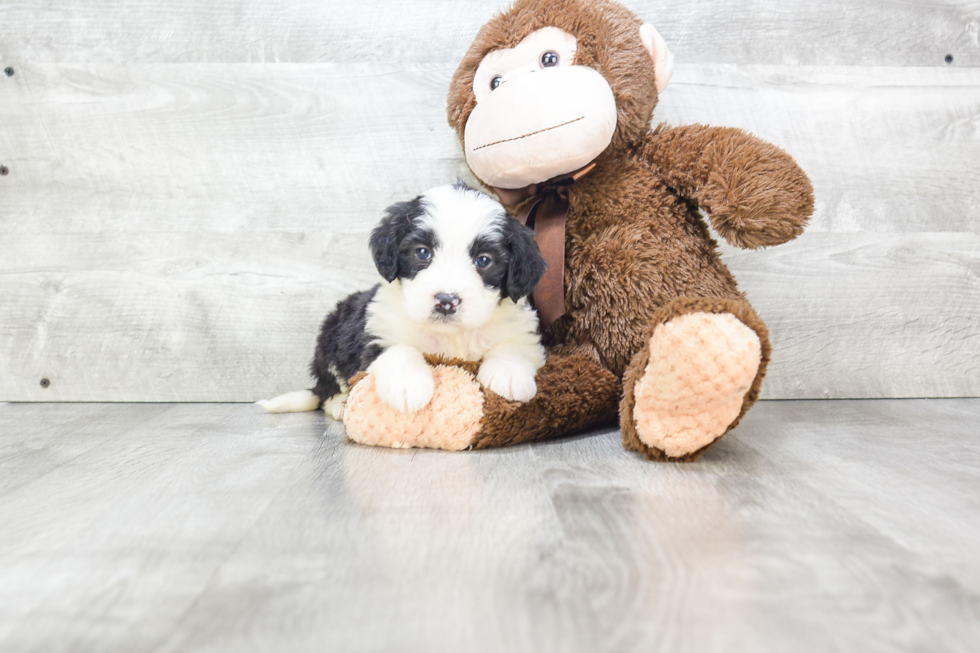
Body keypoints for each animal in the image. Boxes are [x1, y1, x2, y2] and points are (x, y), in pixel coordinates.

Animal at [258, 182, 552, 418]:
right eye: (422, 252)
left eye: (484, 260)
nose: (446, 301)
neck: (450, 336)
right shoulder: (379, 331)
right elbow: (399, 350)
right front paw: (408, 385)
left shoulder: (521, 329)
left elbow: (512, 346)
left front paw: (508, 375)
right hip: (331, 336)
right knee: (327, 389)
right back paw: (339, 404)